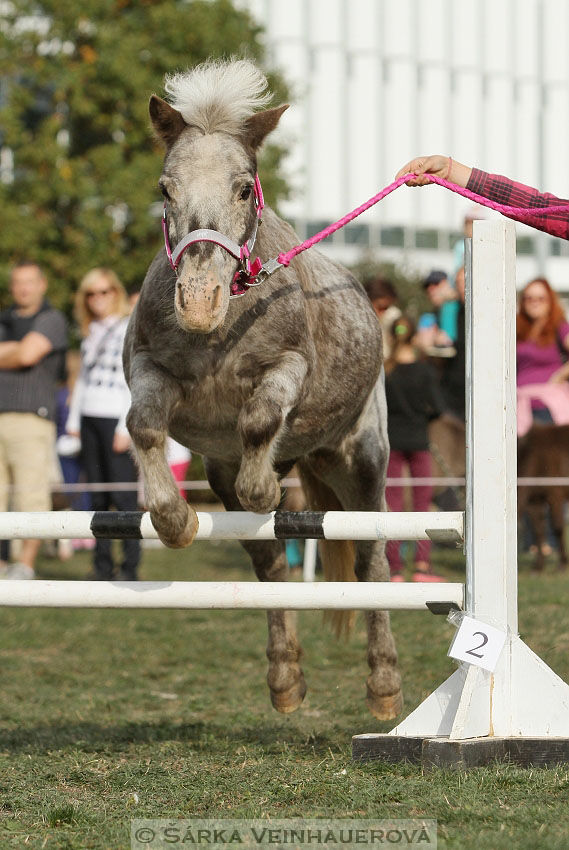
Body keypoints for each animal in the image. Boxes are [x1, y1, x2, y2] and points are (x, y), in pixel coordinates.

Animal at [122, 58, 402, 716]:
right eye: (165, 189)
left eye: (244, 188)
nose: (198, 302)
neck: (220, 331)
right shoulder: (152, 370)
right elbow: (144, 426)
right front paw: (174, 520)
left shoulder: (288, 368)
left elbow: (258, 421)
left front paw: (266, 488)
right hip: (224, 471)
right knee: (270, 563)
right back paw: (285, 679)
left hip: (363, 458)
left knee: (373, 560)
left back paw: (383, 686)